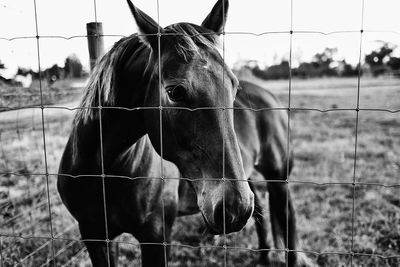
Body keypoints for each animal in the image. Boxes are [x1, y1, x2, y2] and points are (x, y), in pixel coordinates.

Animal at [57, 0, 306, 266]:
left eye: (234, 87)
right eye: (175, 92)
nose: (233, 209)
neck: (103, 172)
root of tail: (270, 97)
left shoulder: (156, 237)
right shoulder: (96, 237)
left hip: (276, 179)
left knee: (288, 217)